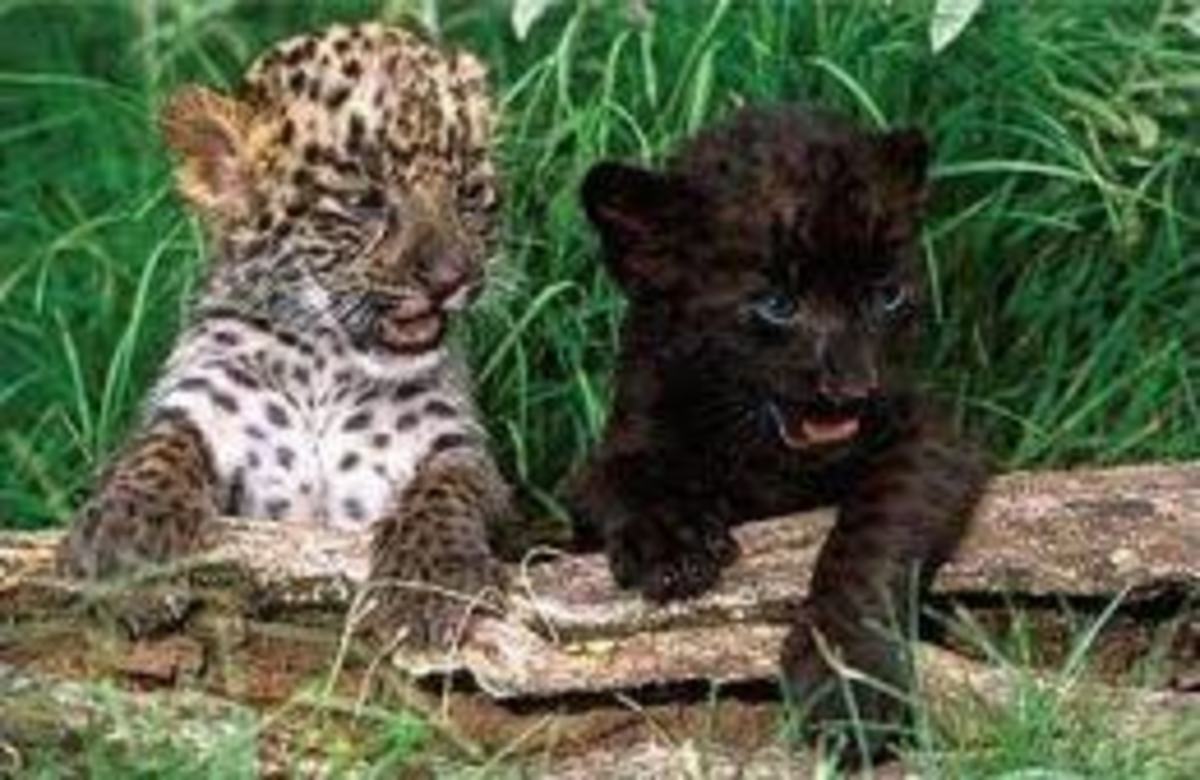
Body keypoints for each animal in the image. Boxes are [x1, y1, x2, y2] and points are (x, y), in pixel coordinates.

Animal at [58, 22, 513, 648]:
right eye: (364, 202)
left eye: (469, 192)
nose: (453, 278)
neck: (325, 365)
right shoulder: (200, 404)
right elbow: (154, 454)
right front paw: (129, 551)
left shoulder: (453, 442)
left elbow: (449, 489)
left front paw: (427, 585)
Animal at [566, 105, 989, 762]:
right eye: (776, 305)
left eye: (886, 295)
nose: (853, 389)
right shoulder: (616, 446)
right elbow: (623, 474)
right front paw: (674, 544)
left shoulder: (929, 434)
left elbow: (876, 524)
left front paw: (848, 685)